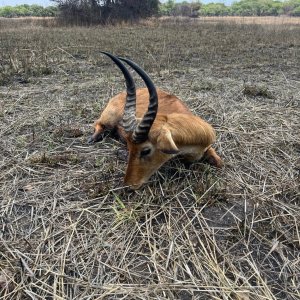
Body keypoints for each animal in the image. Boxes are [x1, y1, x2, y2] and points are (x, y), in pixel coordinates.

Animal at [88, 51, 221, 188]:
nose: (128, 184)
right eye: (130, 146)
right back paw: (92, 138)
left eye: (145, 150)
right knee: (98, 123)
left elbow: (220, 163)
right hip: (109, 118)